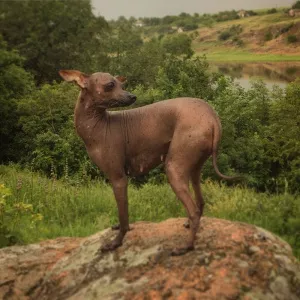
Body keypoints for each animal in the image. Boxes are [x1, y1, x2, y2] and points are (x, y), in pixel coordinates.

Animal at [58, 70, 237, 255]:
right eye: (110, 85)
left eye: (120, 84)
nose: (132, 96)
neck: (98, 125)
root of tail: (212, 117)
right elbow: (124, 215)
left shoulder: (119, 179)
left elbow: (123, 215)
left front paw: (116, 243)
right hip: (195, 169)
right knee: (200, 202)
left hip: (174, 167)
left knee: (193, 210)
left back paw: (186, 247)